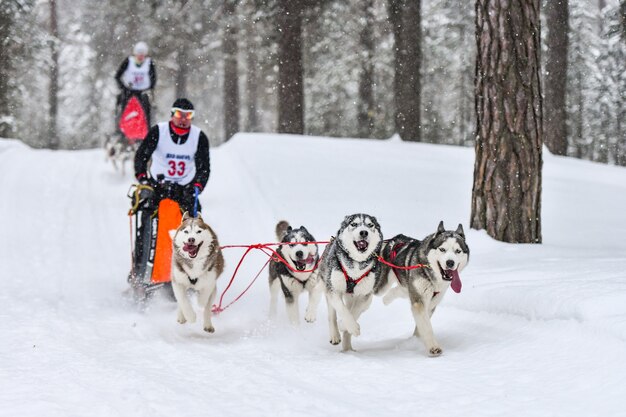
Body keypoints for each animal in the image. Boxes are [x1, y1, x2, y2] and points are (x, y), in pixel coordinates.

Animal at [320, 213, 382, 350]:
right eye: (354, 224)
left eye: (370, 225)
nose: (363, 232)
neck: (356, 265)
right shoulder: (333, 289)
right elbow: (342, 309)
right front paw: (348, 326)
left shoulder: (365, 296)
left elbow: (354, 312)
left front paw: (346, 326)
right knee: (332, 315)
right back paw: (335, 335)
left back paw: (348, 348)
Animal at [376, 221, 468, 354]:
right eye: (442, 249)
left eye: (458, 251)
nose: (450, 262)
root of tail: (390, 241)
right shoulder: (419, 302)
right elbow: (426, 326)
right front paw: (433, 347)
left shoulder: (431, 303)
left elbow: (421, 325)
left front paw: (416, 340)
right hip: (381, 286)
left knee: (401, 290)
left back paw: (387, 298)